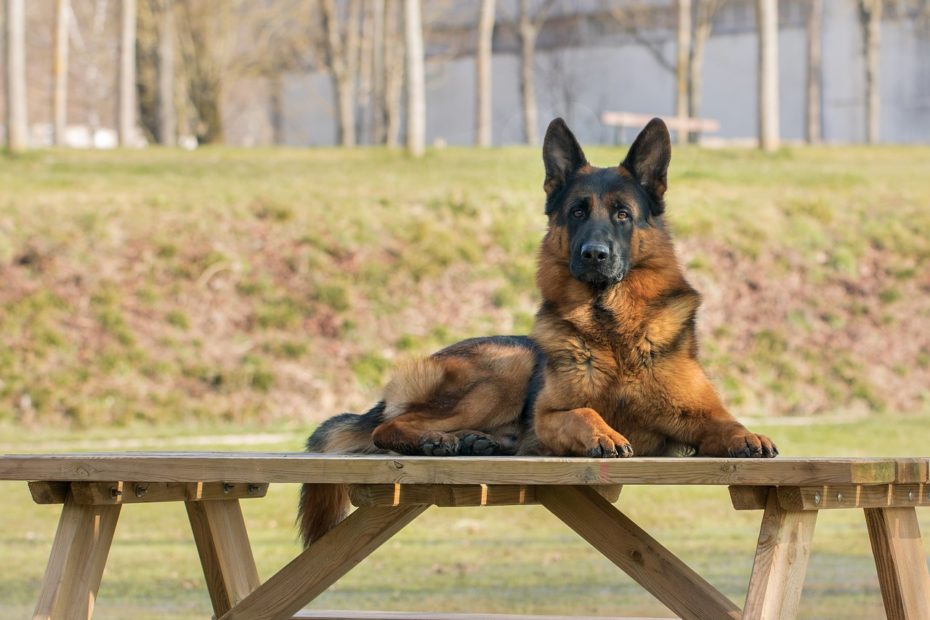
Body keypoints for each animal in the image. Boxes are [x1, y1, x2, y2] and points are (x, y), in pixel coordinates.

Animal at [296, 118, 768, 544]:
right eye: (577, 212)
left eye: (622, 214)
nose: (594, 254)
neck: (612, 330)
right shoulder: (549, 417)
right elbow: (583, 412)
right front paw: (604, 433)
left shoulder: (700, 416)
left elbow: (727, 423)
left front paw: (749, 436)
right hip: (508, 369)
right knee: (389, 427)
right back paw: (435, 441)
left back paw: (475, 443)